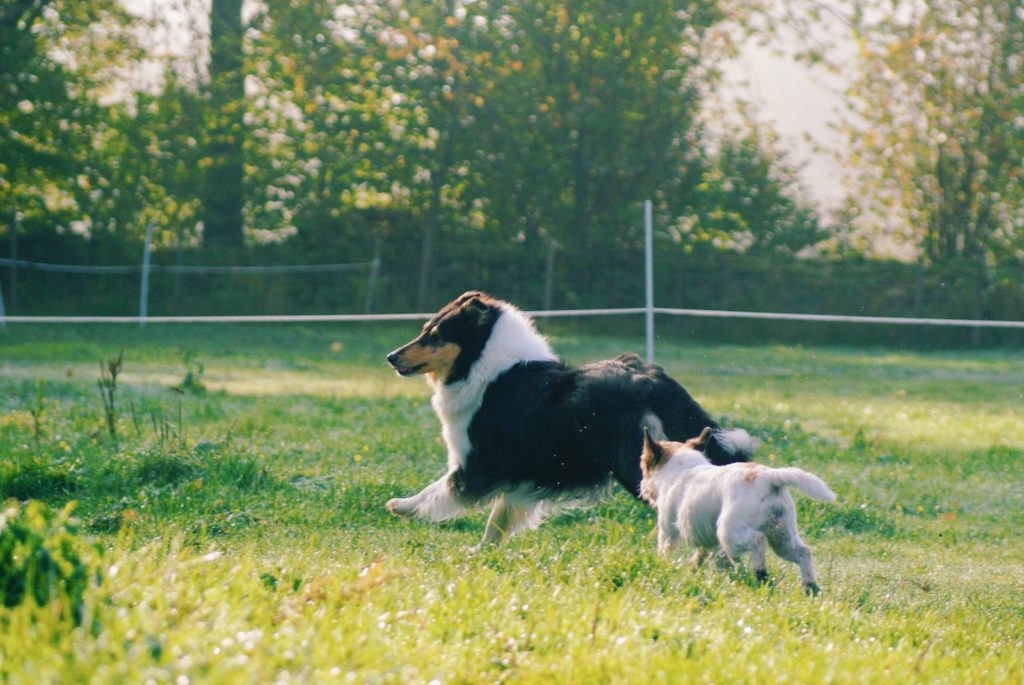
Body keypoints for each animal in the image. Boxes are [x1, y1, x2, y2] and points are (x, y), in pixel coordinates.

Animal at [385, 290, 753, 540]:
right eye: (425, 330)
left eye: (435, 336)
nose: (391, 357)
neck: (486, 367)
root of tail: (653, 382)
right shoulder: (520, 473)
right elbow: (498, 521)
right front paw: (481, 553)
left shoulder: (477, 465)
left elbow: (437, 491)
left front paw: (400, 505)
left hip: (639, 465)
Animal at [643, 423, 835, 589]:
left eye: (644, 467)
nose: (642, 488)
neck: (682, 468)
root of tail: (770, 477)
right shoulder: (709, 542)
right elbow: (706, 557)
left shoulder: (667, 532)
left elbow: (666, 552)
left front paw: (665, 569)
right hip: (782, 537)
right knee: (804, 552)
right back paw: (810, 587)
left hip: (730, 535)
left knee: (758, 543)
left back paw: (761, 574)